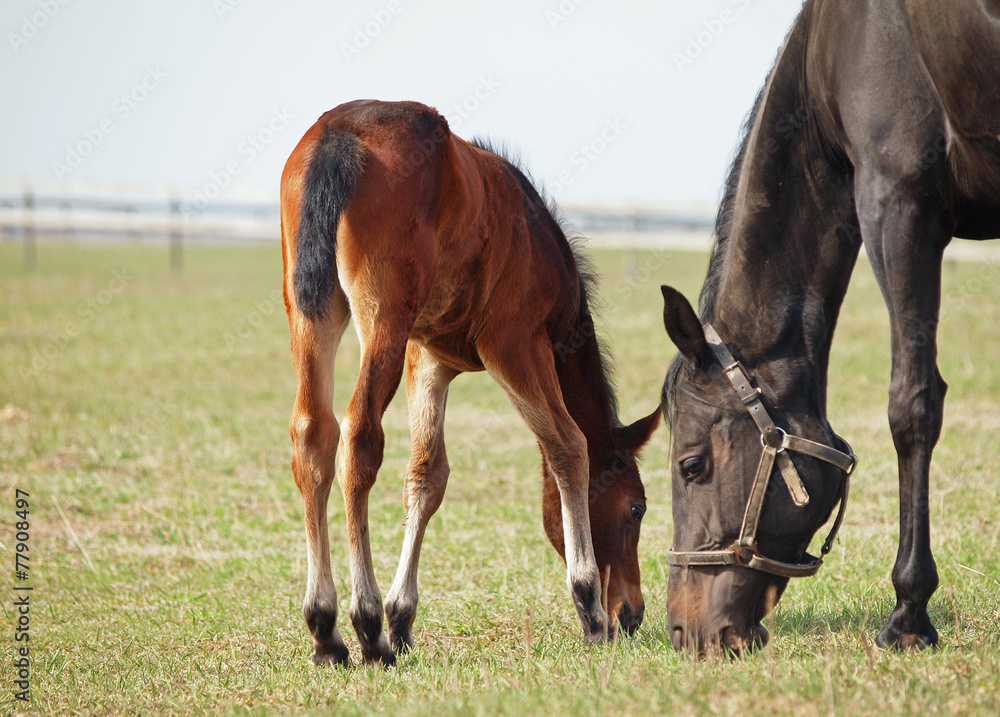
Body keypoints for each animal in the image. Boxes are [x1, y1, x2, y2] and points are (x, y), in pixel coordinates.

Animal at [279, 100, 659, 666]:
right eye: (636, 507)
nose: (631, 613)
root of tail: (337, 135)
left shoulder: (429, 359)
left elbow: (427, 475)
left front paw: (403, 618)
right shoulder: (515, 343)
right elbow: (568, 444)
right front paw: (589, 605)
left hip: (312, 312)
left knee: (313, 433)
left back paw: (326, 629)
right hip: (384, 320)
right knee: (360, 438)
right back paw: (365, 625)